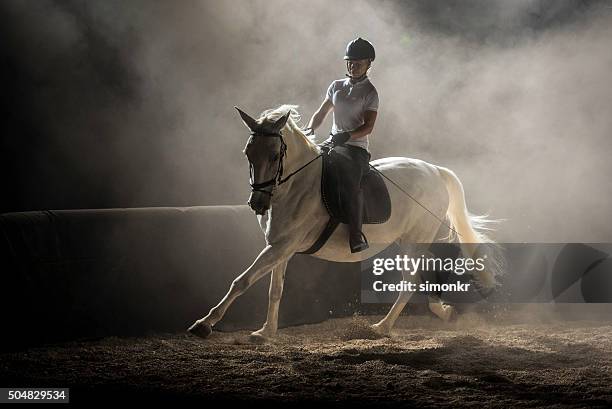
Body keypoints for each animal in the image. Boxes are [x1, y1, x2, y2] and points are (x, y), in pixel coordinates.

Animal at [189, 103, 500, 340]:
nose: (257, 204)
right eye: (248, 154)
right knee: (425, 273)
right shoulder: (281, 247)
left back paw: (382, 327)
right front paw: (266, 332)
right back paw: (443, 311)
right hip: (412, 241)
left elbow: (241, 281)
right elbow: (274, 290)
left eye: (276, 155)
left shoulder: (281, 246)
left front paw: (203, 324)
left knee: (410, 282)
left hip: (414, 240)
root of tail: (434, 169)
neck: (297, 186)